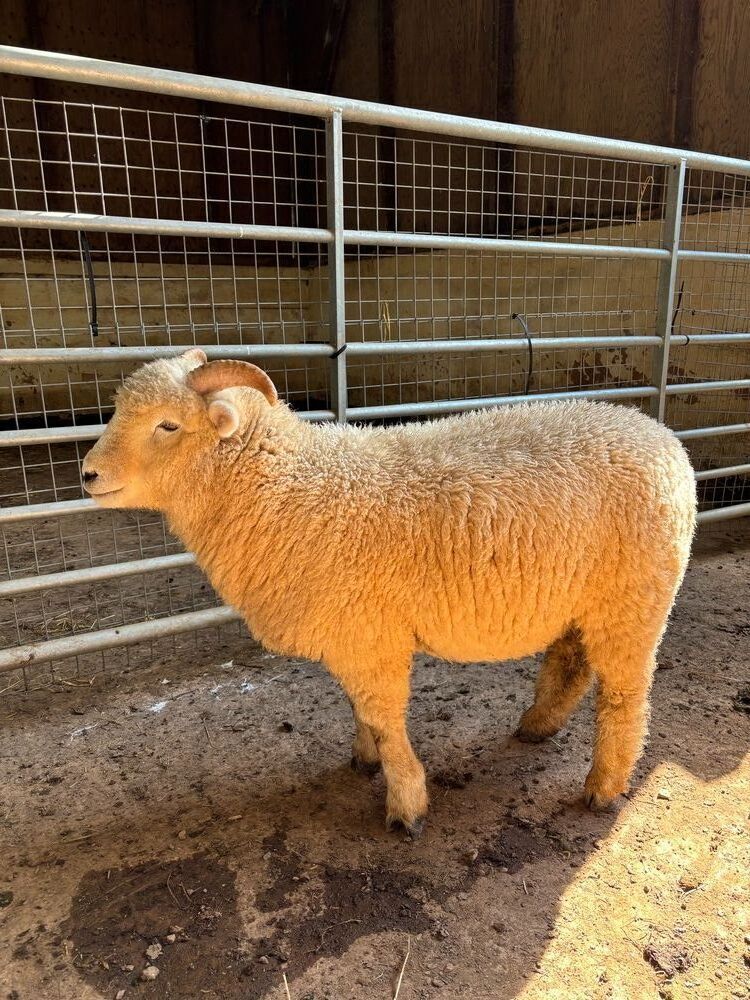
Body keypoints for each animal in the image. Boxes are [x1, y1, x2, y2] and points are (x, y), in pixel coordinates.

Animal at [81, 349, 696, 837]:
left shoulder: (372, 636)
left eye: (168, 426)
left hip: (635, 598)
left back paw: (604, 786)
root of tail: (662, 437)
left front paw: (406, 803)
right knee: (571, 660)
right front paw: (364, 758)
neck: (290, 489)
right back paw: (538, 725)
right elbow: (359, 708)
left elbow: (384, 717)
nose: (87, 475)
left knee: (624, 694)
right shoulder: (351, 633)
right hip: (582, 598)